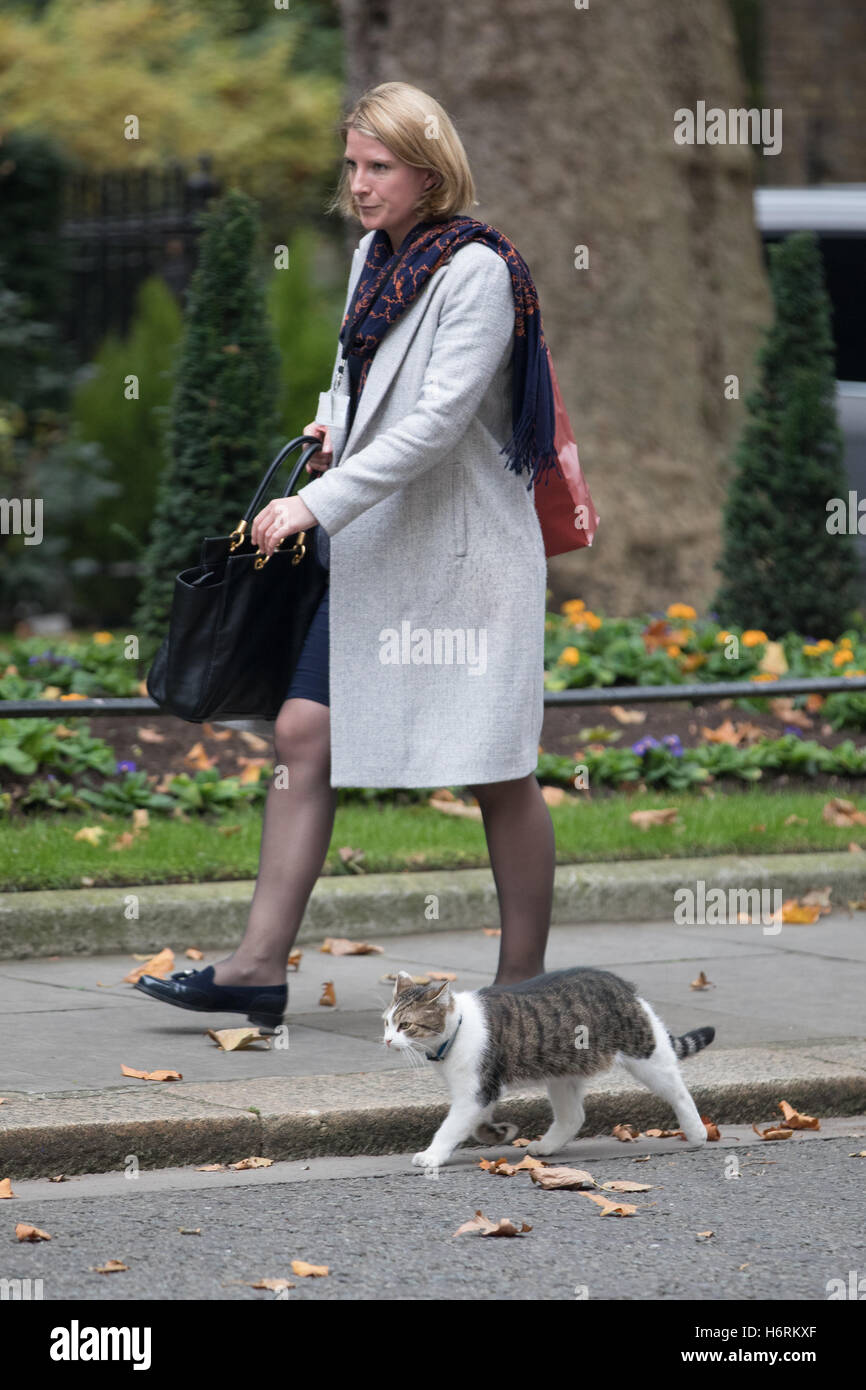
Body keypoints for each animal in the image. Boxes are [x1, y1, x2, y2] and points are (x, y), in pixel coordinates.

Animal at [383, 961, 717, 1167]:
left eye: (405, 1025)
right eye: (387, 1022)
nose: (386, 1040)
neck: (459, 1027)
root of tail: (624, 986)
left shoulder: (475, 1091)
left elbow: (449, 1127)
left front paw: (431, 1155)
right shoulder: (483, 1090)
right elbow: (475, 1123)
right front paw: (496, 1133)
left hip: (645, 1055)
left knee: (678, 1090)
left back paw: (697, 1133)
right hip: (561, 1073)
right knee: (573, 1116)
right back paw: (545, 1147)